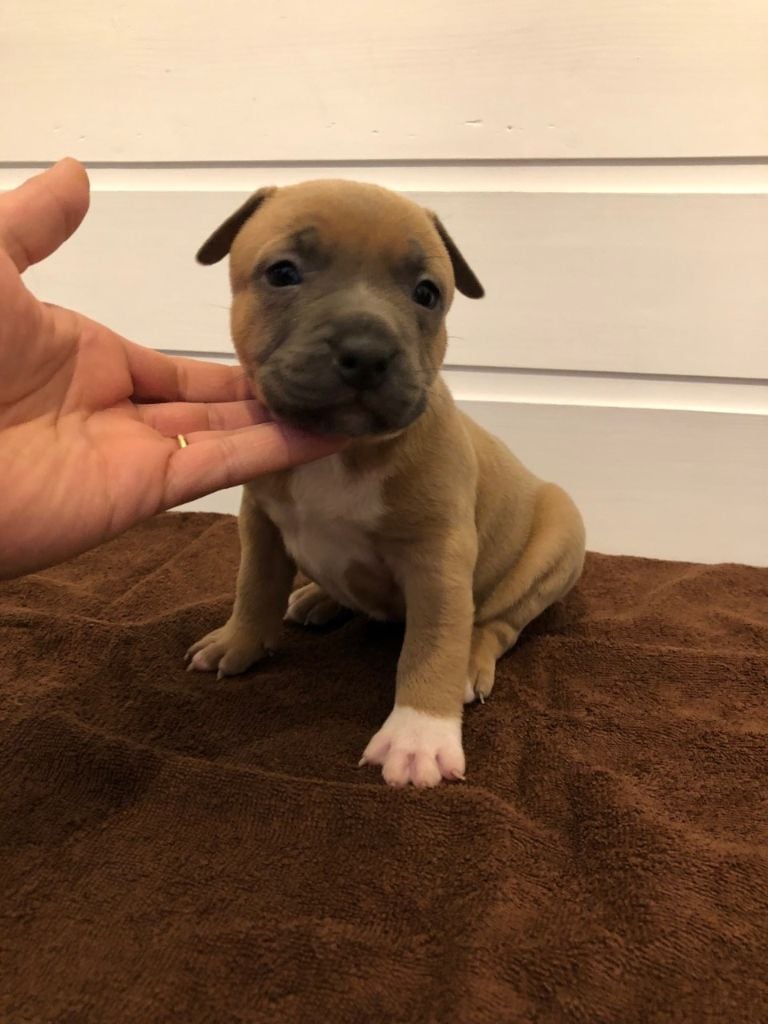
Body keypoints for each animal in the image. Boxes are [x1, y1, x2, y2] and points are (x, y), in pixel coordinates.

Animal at [186, 180, 586, 787]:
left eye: (427, 293)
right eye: (283, 273)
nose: (367, 351)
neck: (343, 450)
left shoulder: (437, 558)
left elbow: (432, 643)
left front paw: (419, 737)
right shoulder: (260, 522)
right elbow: (253, 585)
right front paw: (239, 641)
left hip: (554, 545)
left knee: (497, 623)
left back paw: (470, 663)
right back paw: (318, 597)